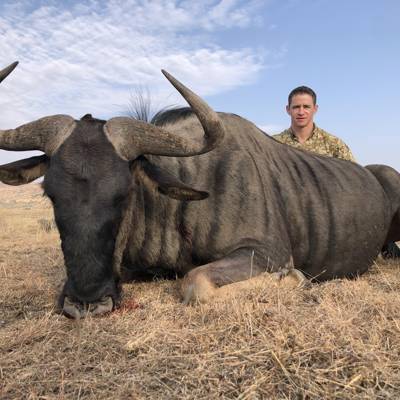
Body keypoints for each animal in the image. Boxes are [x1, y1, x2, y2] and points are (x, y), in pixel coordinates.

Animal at [1, 61, 400, 319]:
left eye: (124, 193)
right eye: (51, 195)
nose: (84, 303)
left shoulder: (266, 253)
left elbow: (195, 282)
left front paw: (294, 279)